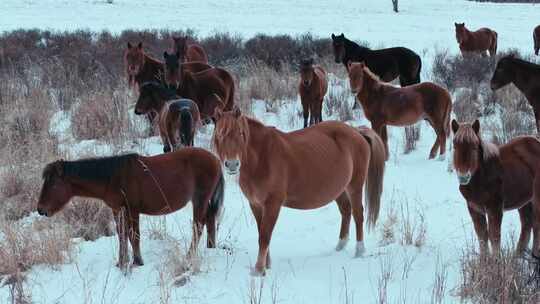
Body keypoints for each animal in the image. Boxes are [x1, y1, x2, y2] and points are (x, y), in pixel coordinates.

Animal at [35, 151, 225, 268]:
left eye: (53, 184)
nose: (40, 209)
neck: (113, 178)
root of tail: (216, 160)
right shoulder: (118, 210)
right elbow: (122, 235)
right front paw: (121, 262)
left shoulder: (133, 210)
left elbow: (134, 236)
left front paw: (137, 262)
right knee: (209, 220)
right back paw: (211, 247)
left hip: (199, 200)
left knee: (198, 226)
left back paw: (190, 256)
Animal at [213, 107, 386, 276]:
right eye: (220, 134)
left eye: (241, 133)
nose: (232, 164)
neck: (262, 158)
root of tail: (357, 131)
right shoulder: (255, 205)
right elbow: (261, 233)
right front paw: (266, 265)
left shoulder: (273, 204)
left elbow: (265, 236)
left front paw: (258, 270)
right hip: (340, 189)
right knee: (346, 211)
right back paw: (340, 246)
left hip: (354, 186)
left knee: (358, 214)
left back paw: (359, 251)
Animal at [450, 120, 540, 258]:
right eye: (455, 147)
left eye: (474, 147)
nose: (463, 177)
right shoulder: (474, 209)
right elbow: (482, 236)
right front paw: (484, 261)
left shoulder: (495, 209)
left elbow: (494, 236)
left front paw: (496, 261)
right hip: (524, 201)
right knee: (526, 224)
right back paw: (517, 255)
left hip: (536, 199)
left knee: (536, 225)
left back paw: (535, 255)